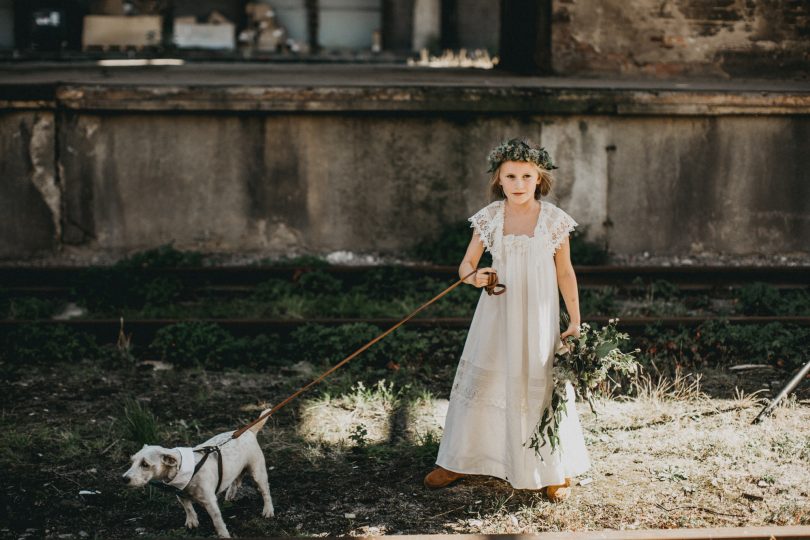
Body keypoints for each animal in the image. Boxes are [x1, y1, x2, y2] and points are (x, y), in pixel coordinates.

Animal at [121, 412, 274, 536]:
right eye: (132, 461)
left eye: (145, 464)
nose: (124, 479)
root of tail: (249, 431)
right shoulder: (181, 495)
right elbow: (188, 508)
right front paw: (192, 521)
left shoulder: (210, 501)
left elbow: (217, 521)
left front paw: (223, 534)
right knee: (237, 479)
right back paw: (230, 493)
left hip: (258, 472)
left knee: (265, 491)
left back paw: (268, 510)